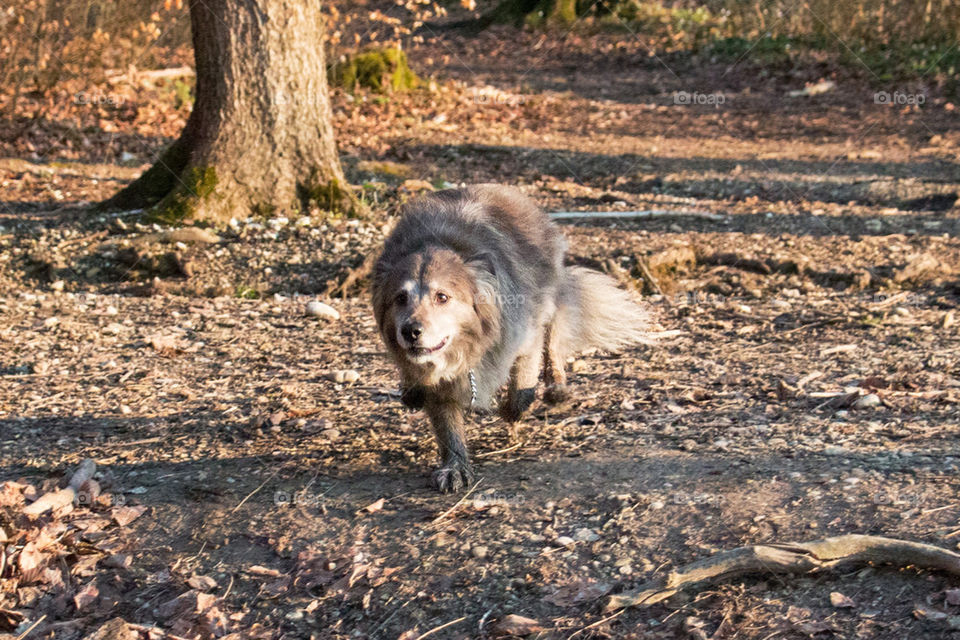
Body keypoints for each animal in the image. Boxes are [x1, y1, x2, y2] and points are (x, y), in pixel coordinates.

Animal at [372, 182, 648, 492]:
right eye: (400, 298)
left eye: (442, 297)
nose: (410, 331)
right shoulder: (439, 380)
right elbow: (447, 425)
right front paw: (455, 466)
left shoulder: (525, 338)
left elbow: (522, 389)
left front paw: (510, 411)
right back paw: (410, 390)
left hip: (549, 297)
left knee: (554, 336)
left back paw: (557, 386)